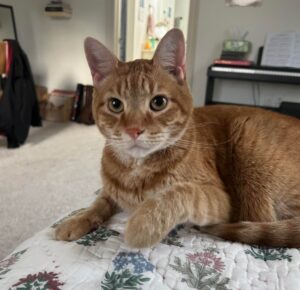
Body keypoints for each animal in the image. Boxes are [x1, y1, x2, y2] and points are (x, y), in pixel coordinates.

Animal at [55, 28, 300, 248]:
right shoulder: (111, 191)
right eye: (115, 105)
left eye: (158, 102)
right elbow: (99, 202)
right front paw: (77, 220)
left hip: (248, 140)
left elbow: (178, 193)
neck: (136, 171)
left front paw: (143, 224)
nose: (134, 130)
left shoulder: (219, 198)